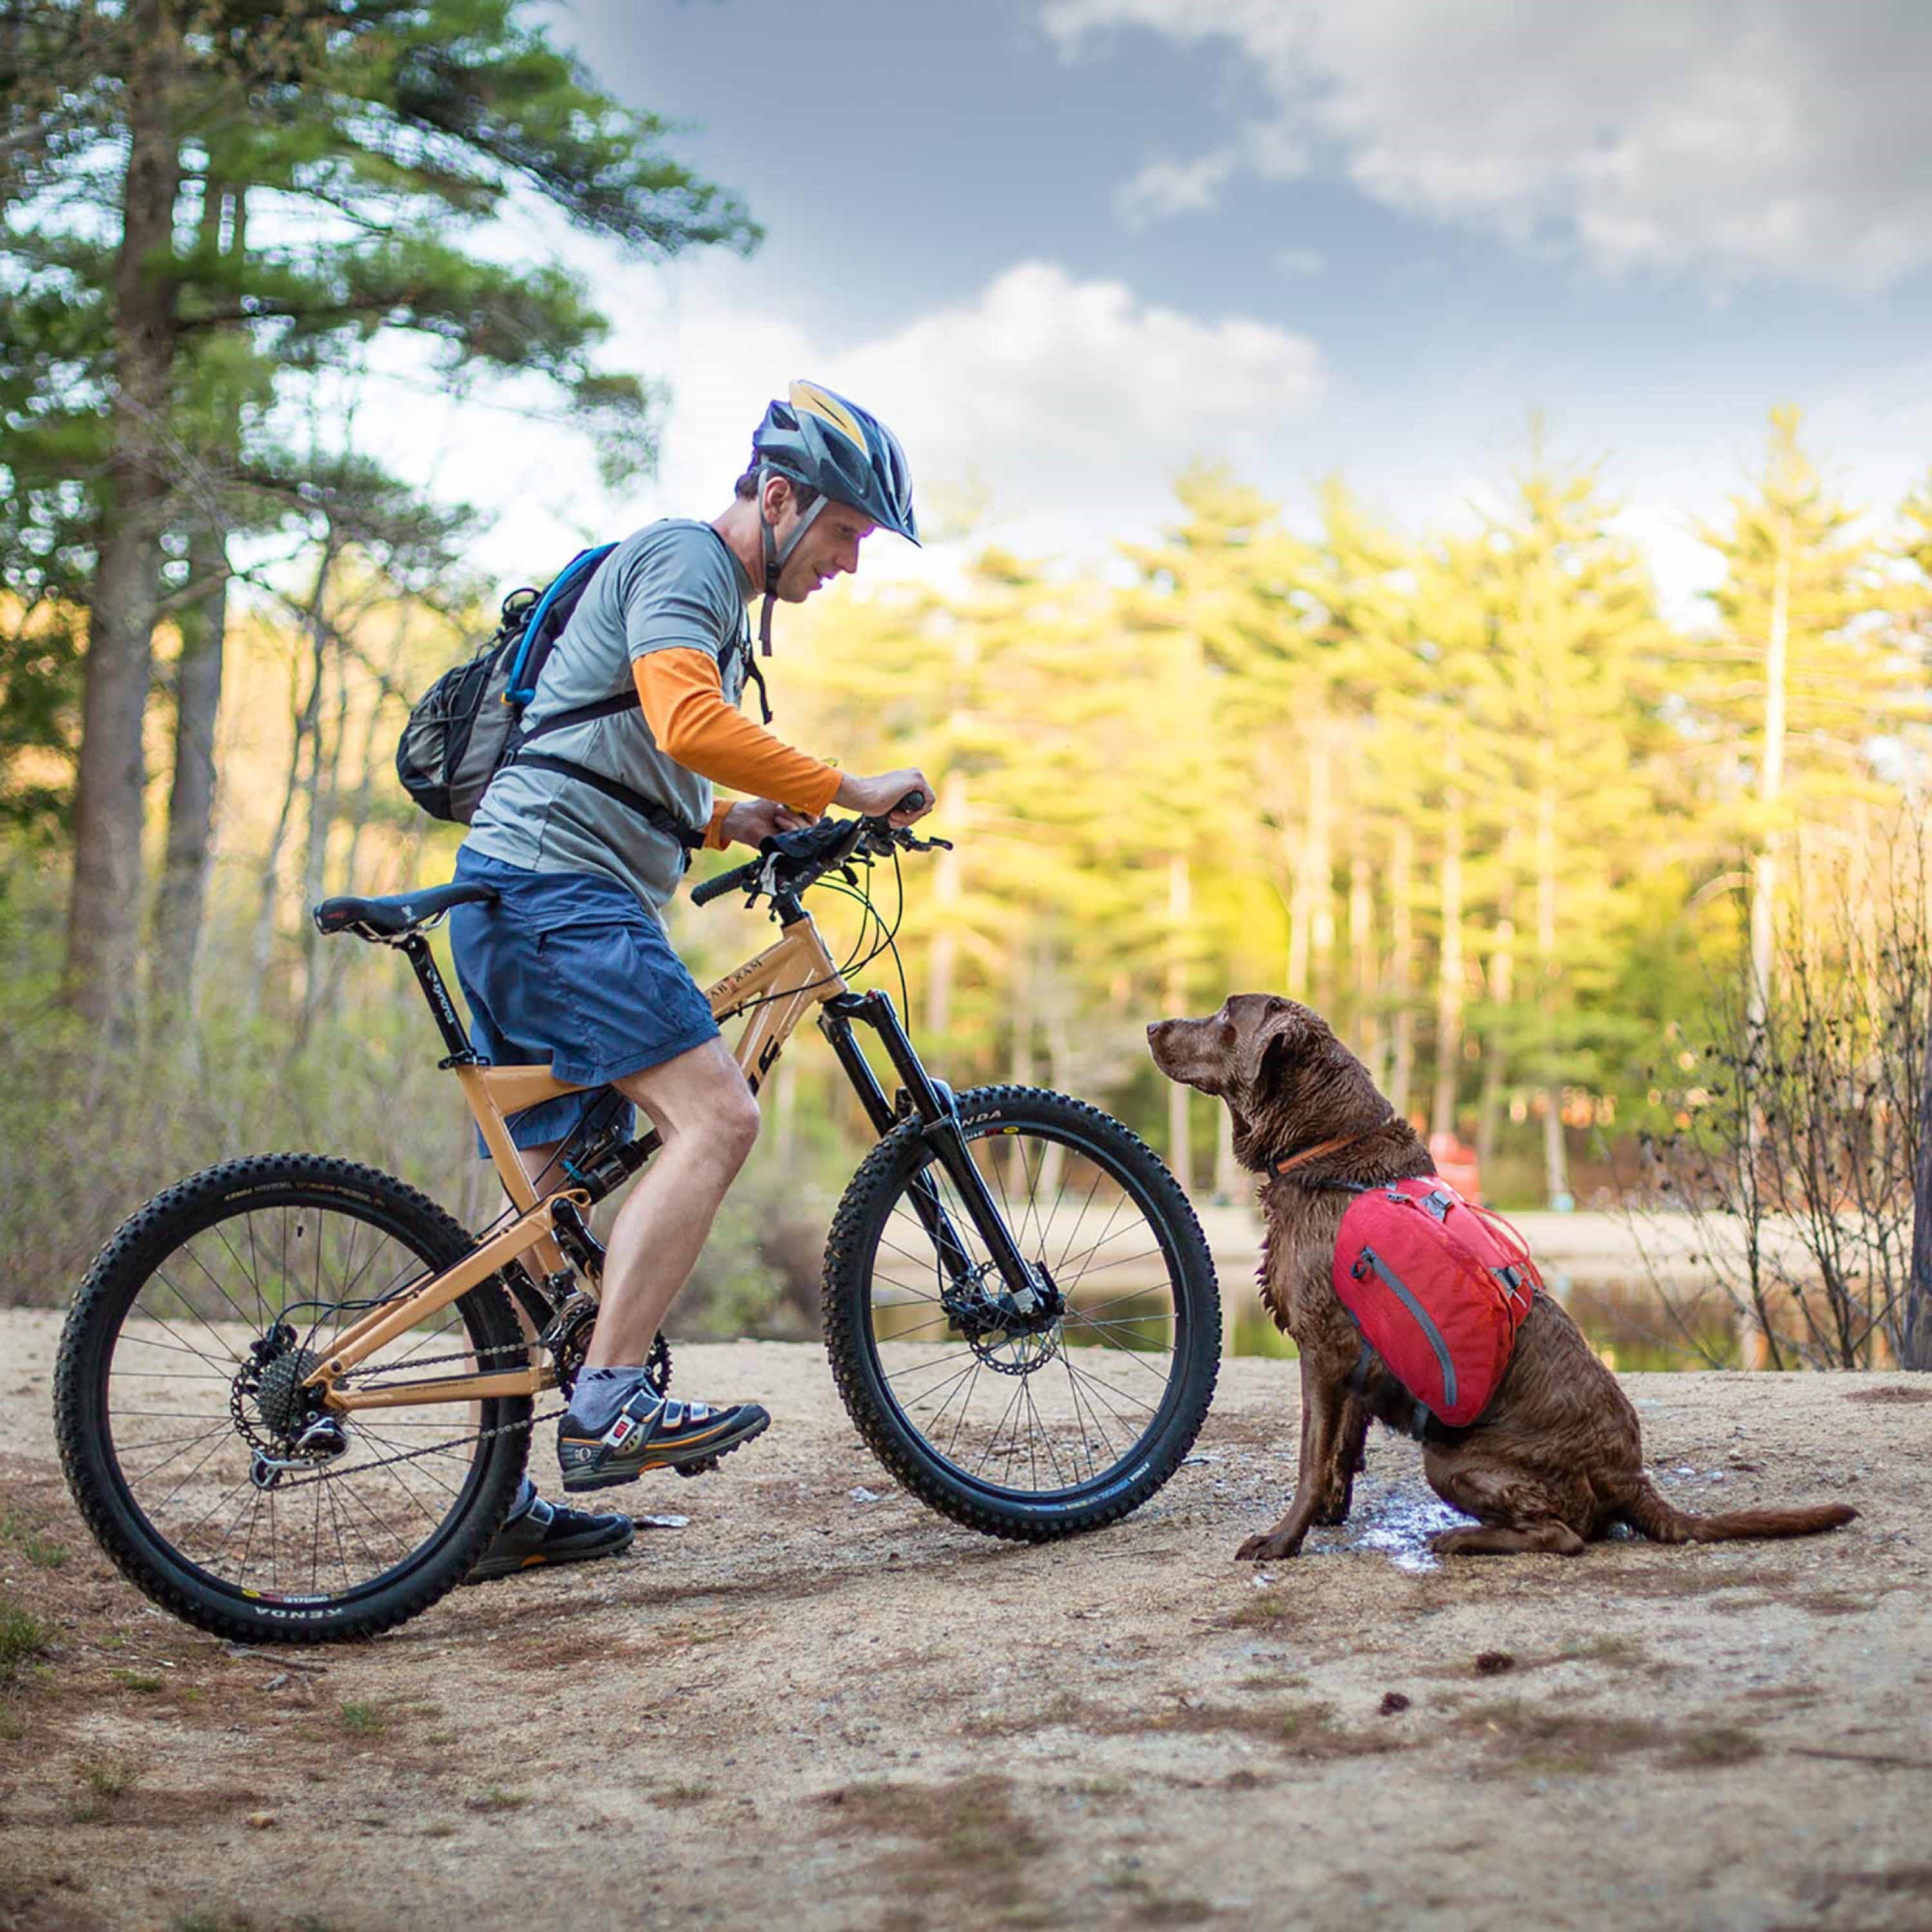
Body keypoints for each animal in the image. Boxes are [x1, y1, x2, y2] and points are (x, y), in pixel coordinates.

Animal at [1144, 997, 1855, 1553]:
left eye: (1224, 1016)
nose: (1152, 1024)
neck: (1327, 1153)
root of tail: (1632, 1477)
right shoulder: (1351, 1365)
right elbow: (1341, 1450)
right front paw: (1325, 1520)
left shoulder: (1321, 1349)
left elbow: (1311, 1458)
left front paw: (1282, 1540)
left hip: (1451, 1457)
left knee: (1565, 1535)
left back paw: (1461, 1537)